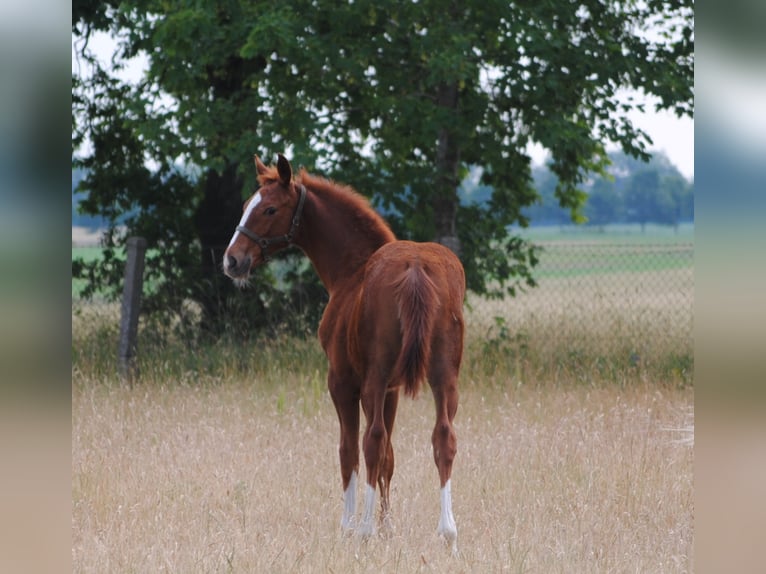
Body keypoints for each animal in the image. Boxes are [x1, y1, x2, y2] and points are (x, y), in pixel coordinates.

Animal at [219, 155, 464, 552]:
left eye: (270, 208)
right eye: (245, 207)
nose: (233, 261)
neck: (352, 270)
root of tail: (414, 267)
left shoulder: (342, 381)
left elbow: (349, 450)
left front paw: (350, 525)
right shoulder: (394, 390)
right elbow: (390, 457)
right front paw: (387, 527)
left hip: (375, 378)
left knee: (371, 441)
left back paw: (362, 530)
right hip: (444, 375)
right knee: (443, 438)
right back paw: (447, 533)